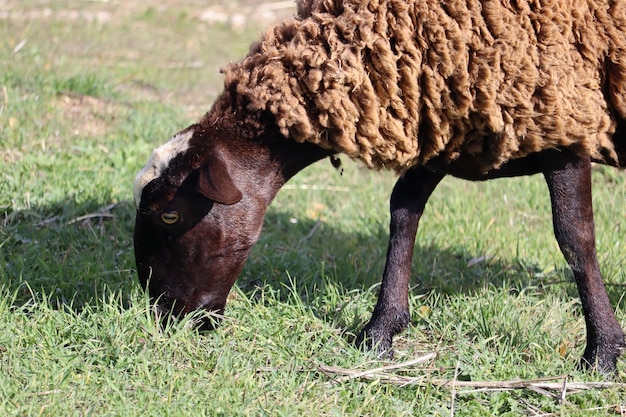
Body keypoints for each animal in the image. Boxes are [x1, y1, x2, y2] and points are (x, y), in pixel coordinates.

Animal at [133, 0, 624, 372]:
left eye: (170, 213)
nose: (163, 317)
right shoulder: (440, 118)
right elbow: (403, 211)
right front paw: (380, 331)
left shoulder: (563, 118)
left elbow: (574, 237)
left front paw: (601, 353)